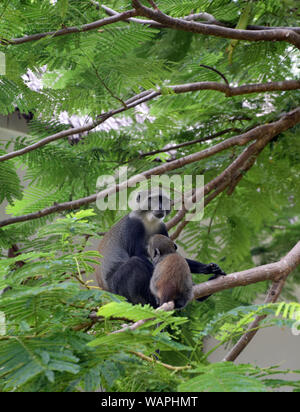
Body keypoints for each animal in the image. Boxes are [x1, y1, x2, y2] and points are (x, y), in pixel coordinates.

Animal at [95, 189, 226, 306]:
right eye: (152, 199)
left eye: (163, 200)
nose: (160, 207)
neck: (149, 220)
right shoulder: (134, 225)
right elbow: (138, 255)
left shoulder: (161, 227)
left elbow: (171, 254)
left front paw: (209, 268)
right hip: (117, 287)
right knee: (135, 263)